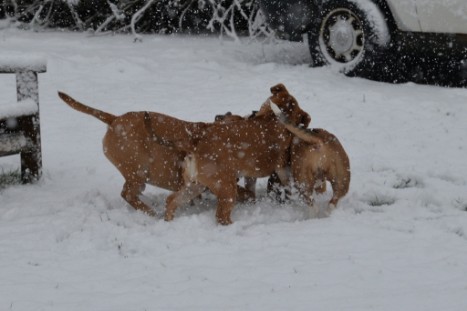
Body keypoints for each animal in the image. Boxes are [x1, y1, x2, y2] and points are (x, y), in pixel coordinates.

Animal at [161, 84, 310, 225]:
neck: (271, 117)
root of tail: (195, 144)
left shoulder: (251, 174)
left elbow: (251, 189)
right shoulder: (281, 168)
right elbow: (287, 183)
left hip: (195, 186)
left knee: (171, 200)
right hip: (227, 188)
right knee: (221, 216)